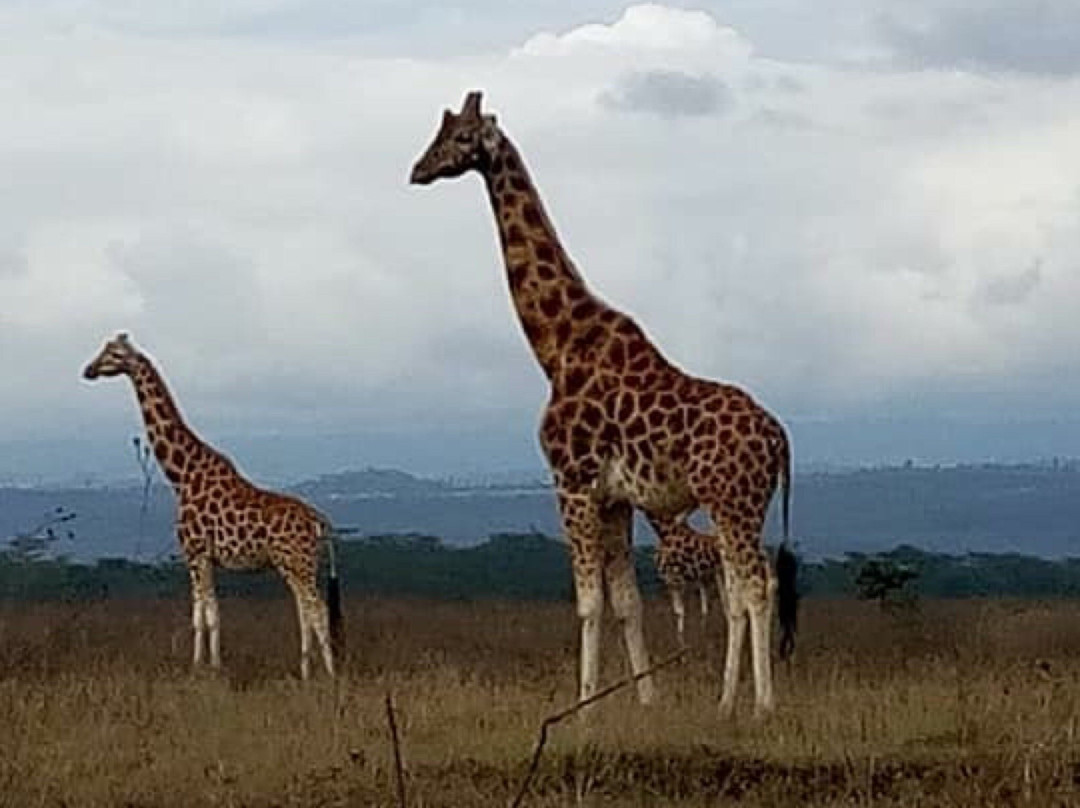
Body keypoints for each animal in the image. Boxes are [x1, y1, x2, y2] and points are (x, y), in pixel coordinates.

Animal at [82, 330, 343, 678]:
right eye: (104, 349)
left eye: (113, 353)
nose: (88, 369)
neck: (181, 476)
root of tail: (319, 520)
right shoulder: (204, 557)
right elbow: (207, 612)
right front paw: (208, 665)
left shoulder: (196, 553)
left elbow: (204, 615)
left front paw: (206, 668)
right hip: (299, 565)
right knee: (306, 610)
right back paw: (306, 671)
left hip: (297, 562)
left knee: (317, 609)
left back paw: (329, 675)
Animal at [410, 91, 794, 717]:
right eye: (438, 133)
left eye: (460, 137)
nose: (417, 169)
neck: (556, 347)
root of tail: (780, 437)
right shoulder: (614, 498)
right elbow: (626, 604)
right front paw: (645, 700)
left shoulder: (571, 482)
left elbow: (588, 603)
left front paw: (584, 706)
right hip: (742, 504)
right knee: (748, 587)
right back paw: (726, 701)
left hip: (731, 500)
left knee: (757, 586)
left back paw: (761, 706)